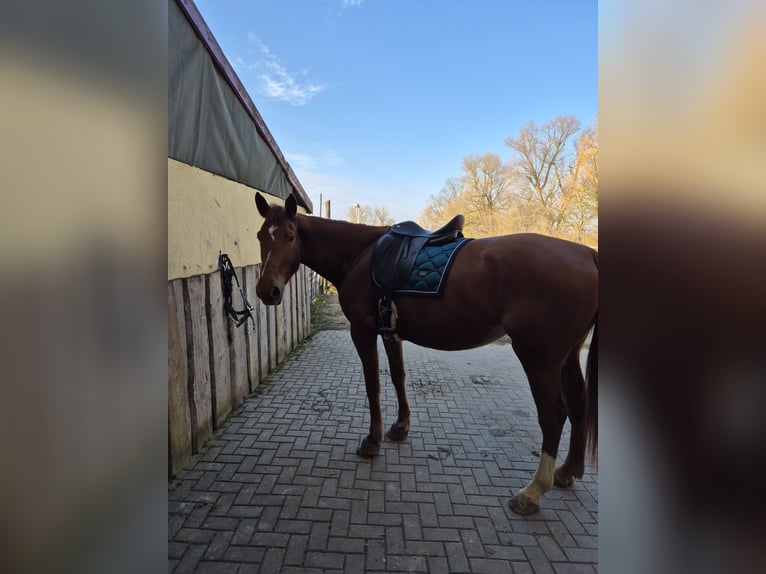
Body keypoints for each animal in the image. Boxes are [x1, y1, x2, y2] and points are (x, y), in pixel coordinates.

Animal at [255, 195, 596, 516]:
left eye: (289, 236)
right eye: (260, 235)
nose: (266, 291)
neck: (360, 255)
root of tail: (587, 254)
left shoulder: (362, 331)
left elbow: (372, 385)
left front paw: (373, 440)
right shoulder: (390, 332)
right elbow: (398, 377)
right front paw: (400, 427)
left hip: (539, 359)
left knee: (553, 416)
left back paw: (533, 492)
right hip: (568, 356)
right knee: (579, 405)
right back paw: (568, 471)